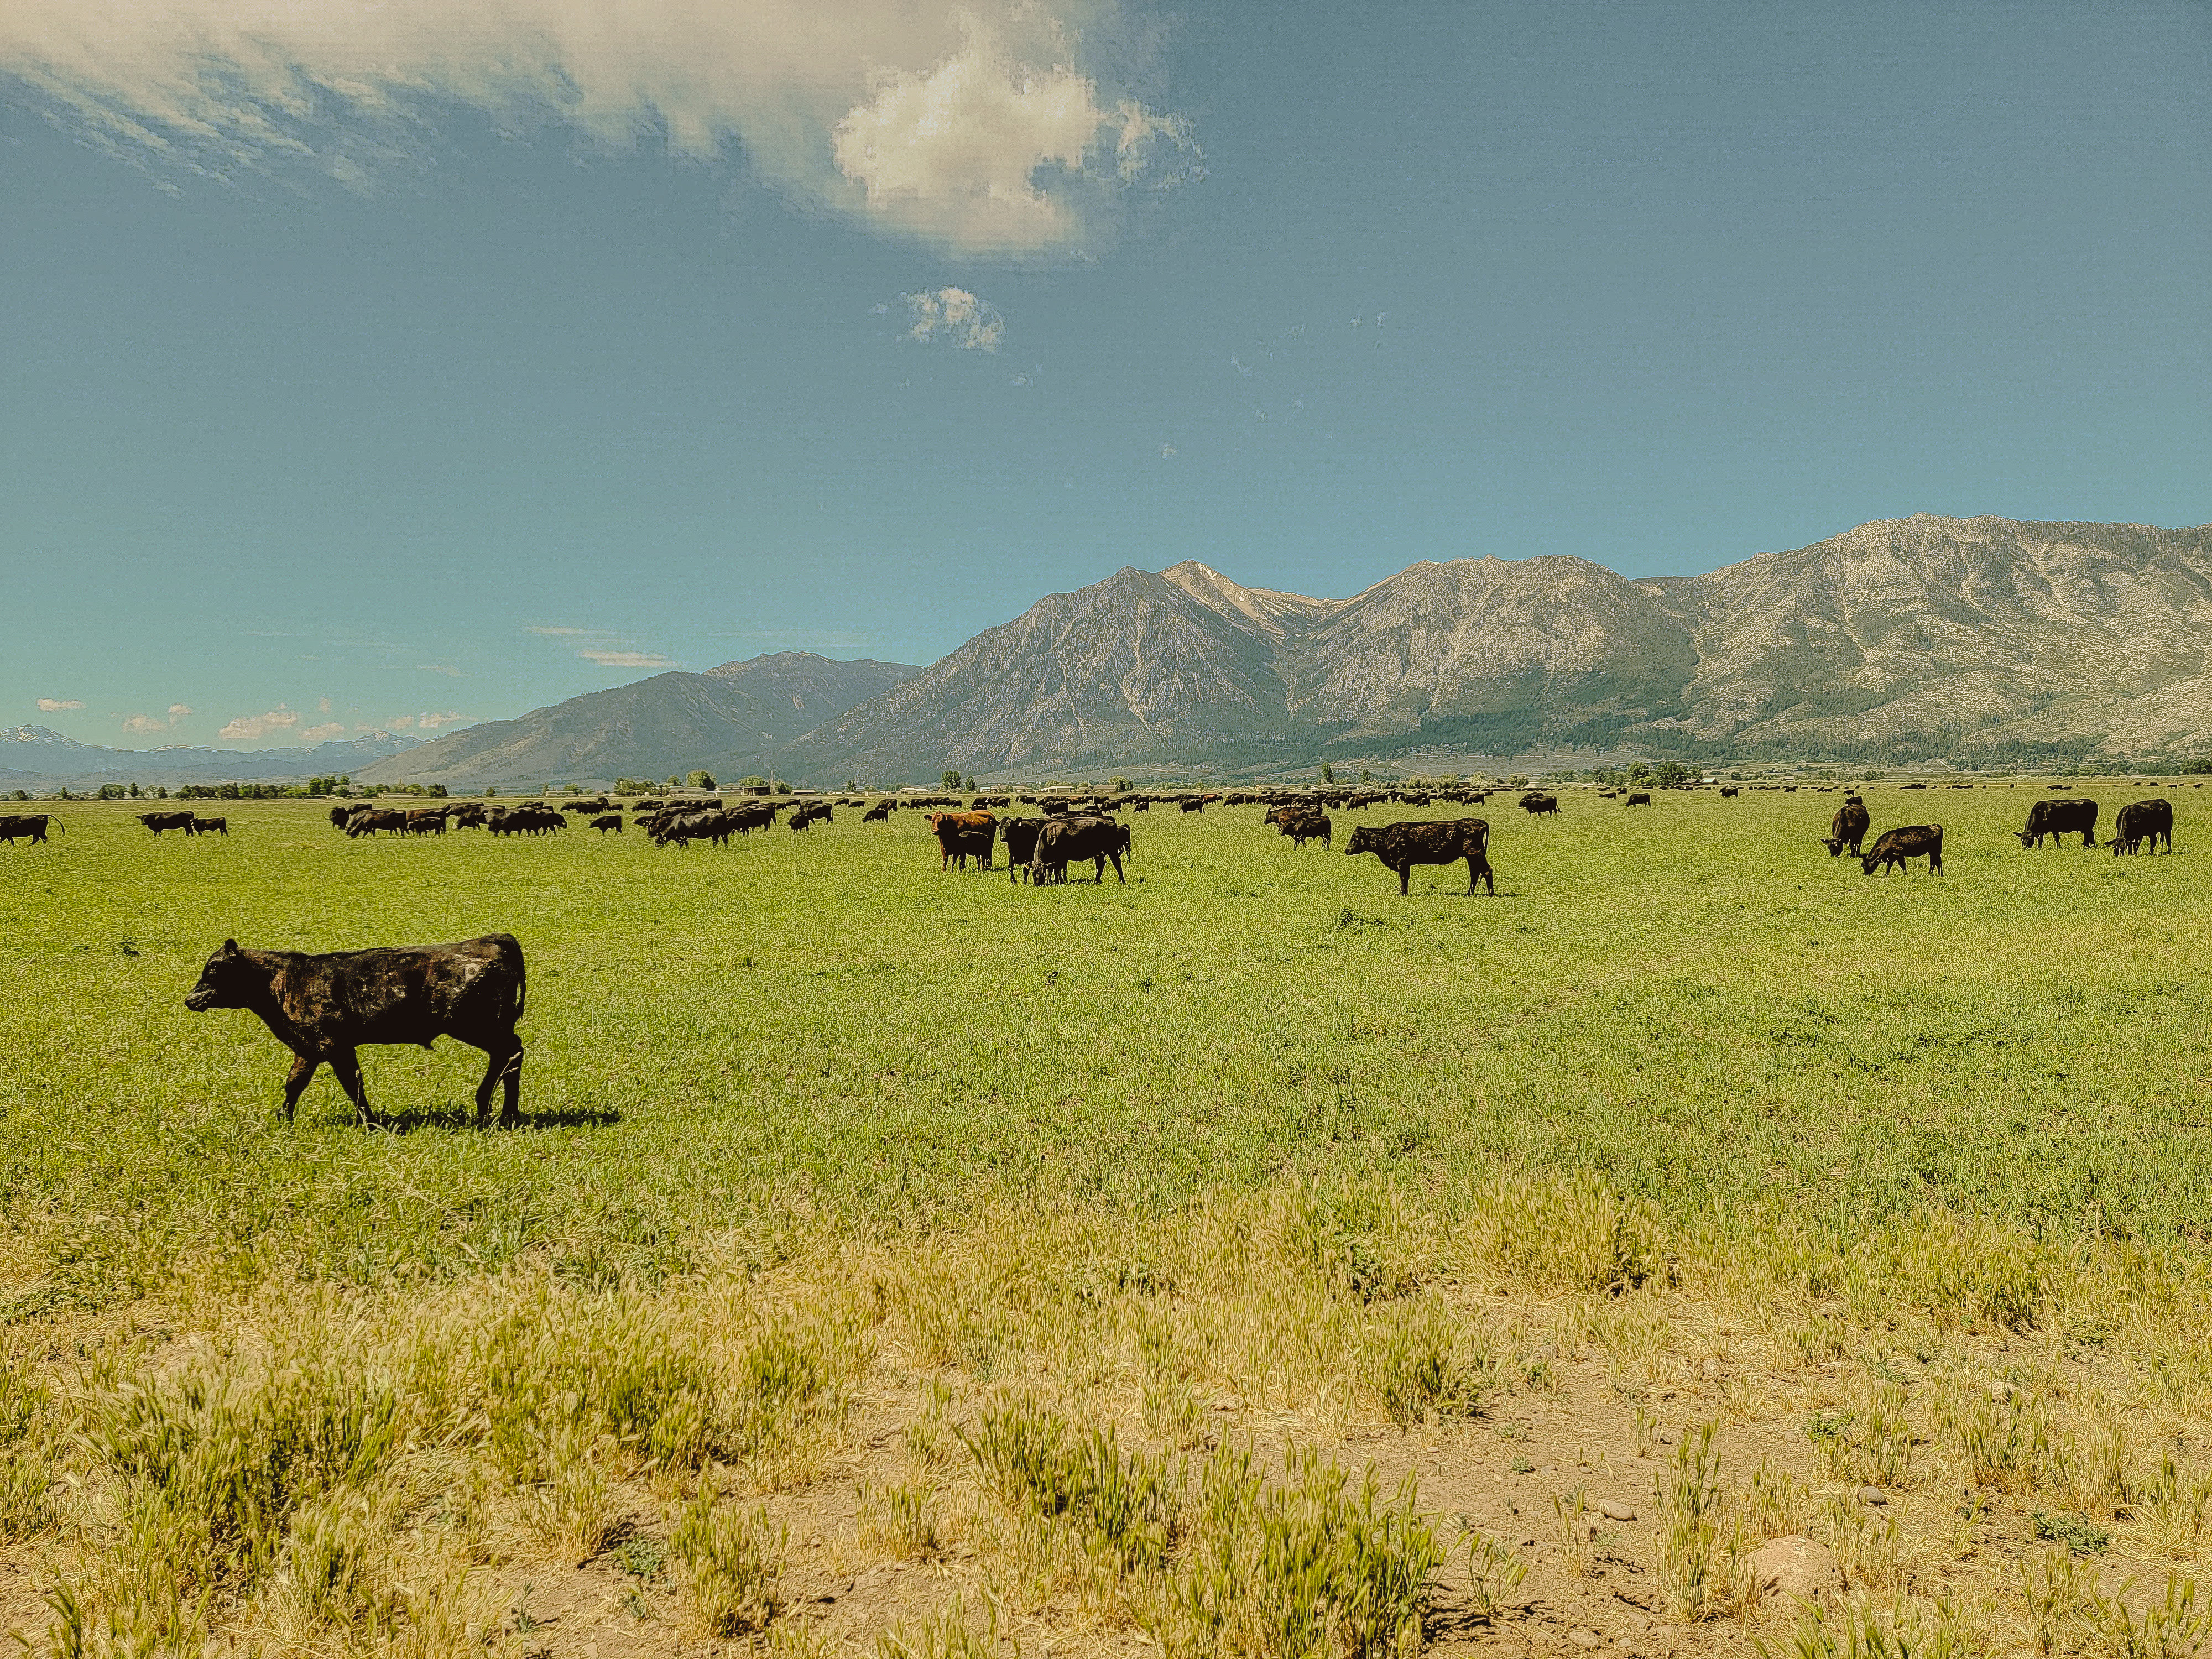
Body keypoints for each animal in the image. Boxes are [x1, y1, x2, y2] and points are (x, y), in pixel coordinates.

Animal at [184, 934, 527, 1128]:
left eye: (212, 969)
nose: (189, 999)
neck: (281, 982)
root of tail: (494, 939)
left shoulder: (333, 1045)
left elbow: (353, 1084)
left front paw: (372, 1123)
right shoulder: (309, 1048)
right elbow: (294, 1083)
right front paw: (283, 1118)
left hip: (475, 1025)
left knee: (511, 1053)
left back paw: (493, 1110)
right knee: (511, 1056)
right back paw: (501, 1113)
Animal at [1030, 815, 1129, 884]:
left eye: (1042, 873)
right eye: (1033, 873)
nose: (1037, 884)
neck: (1049, 835)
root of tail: (1110, 821)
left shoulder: (1060, 858)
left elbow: (1057, 870)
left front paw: (1059, 881)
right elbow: (1054, 870)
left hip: (1111, 849)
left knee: (1117, 863)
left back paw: (1122, 881)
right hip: (1098, 853)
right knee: (1100, 865)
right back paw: (1096, 881)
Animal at [1344, 819, 1494, 896]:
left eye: (1354, 838)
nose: (1347, 850)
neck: (1387, 836)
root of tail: (1481, 822)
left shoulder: (1402, 862)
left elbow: (1404, 878)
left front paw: (1403, 893)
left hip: (1476, 854)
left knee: (1486, 871)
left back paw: (1490, 893)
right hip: (1471, 857)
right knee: (1475, 873)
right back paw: (1469, 893)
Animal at [1862, 825, 1943, 877]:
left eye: (1863, 865)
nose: (1864, 874)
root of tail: (1936, 825)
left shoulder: (1898, 854)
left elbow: (1902, 865)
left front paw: (1905, 874)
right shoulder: (1892, 857)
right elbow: (1889, 866)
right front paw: (1886, 874)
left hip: (1935, 851)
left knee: (1937, 862)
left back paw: (1937, 874)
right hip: (1933, 852)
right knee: (1934, 862)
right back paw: (1935, 874)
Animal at [2017, 798, 2098, 849]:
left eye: (2029, 840)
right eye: (2022, 840)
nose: (2024, 848)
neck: (2042, 812)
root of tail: (2092, 802)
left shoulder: (2055, 829)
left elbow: (2057, 838)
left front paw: (2059, 847)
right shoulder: (2041, 832)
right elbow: (2040, 839)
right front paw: (2039, 848)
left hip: (2088, 827)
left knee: (2090, 834)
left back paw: (2089, 846)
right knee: (2089, 835)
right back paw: (2088, 846)